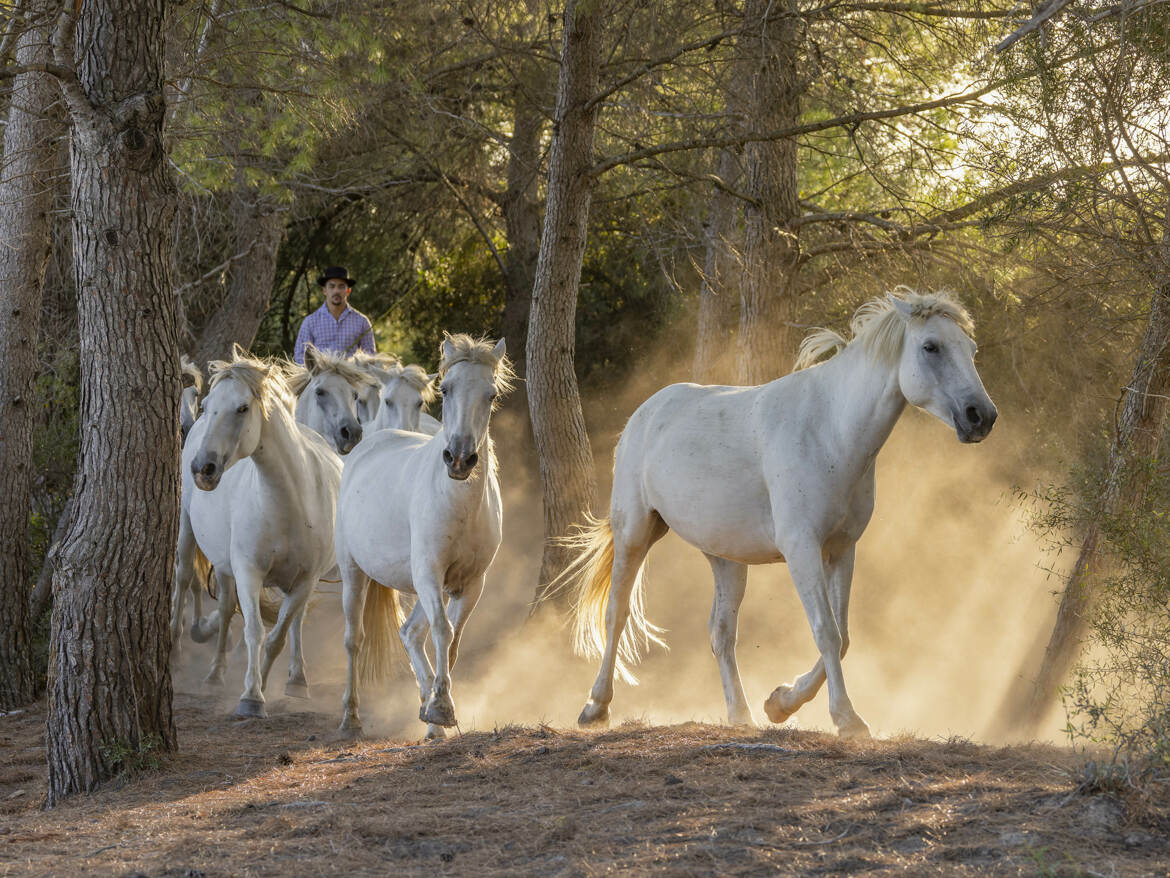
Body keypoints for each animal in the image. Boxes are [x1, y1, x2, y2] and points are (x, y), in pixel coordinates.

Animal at [183, 346, 344, 717]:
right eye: (206, 404)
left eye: (243, 408)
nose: (202, 469)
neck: (288, 502)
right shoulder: (247, 571)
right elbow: (254, 631)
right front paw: (251, 696)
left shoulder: (305, 580)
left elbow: (279, 636)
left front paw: (265, 687)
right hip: (197, 540)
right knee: (218, 603)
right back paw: (213, 674)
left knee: (294, 623)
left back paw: (297, 680)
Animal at [333, 334, 513, 738]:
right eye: (445, 389)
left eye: (491, 394)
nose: (459, 459)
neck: (458, 504)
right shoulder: (430, 573)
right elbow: (443, 633)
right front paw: (442, 708)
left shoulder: (468, 583)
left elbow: (454, 642)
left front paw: (436, 712)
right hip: (354, 572)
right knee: (353, 640)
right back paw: (350, 717)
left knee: (410, 633)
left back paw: (424, 709)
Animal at [559, 290, 997, 739]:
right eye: (931, 347)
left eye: (971, 349)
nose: (981, 416)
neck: (830, 430)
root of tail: (644, 413)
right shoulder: (802, 549)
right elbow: (826, 631)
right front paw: (846, 718)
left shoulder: (841, 550)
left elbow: (843, 637)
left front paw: (781, 703)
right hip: (635, 532)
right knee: (616, 614)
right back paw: (596, 707)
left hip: (726, 560)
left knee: (721, 633)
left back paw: (741, 714)